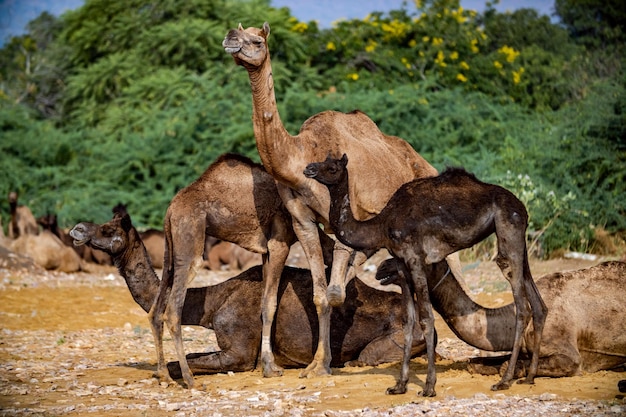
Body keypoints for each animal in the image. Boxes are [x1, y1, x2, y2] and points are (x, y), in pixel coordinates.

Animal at [68, 213, 428, 376]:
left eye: (108, 229)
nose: (78, 229)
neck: (215, 301)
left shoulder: (239, 354)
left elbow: (178, 365)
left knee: (367, 356)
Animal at [221, 24, 464, 378]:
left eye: (257, 40)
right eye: (239, 32)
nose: (230, 38)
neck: (301, 159)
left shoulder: (343, 218)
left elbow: (335, 291)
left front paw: (322, 365)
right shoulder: (302, 220)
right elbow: (322, 295)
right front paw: (315, 365)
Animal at [304, 154, 544, 394]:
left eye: (332, 167)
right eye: (323, 160)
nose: (309, 169)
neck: (382, 224)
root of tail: (521, 206)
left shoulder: (415, 259)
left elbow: (427, 319)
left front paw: (429, 386)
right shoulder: (403, 267)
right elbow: (408, 322)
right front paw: (400, 385)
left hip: (508, 229)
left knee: (521, 305)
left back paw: (505, 380)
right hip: (519, 241)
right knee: (538, 304)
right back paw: (530, 377)